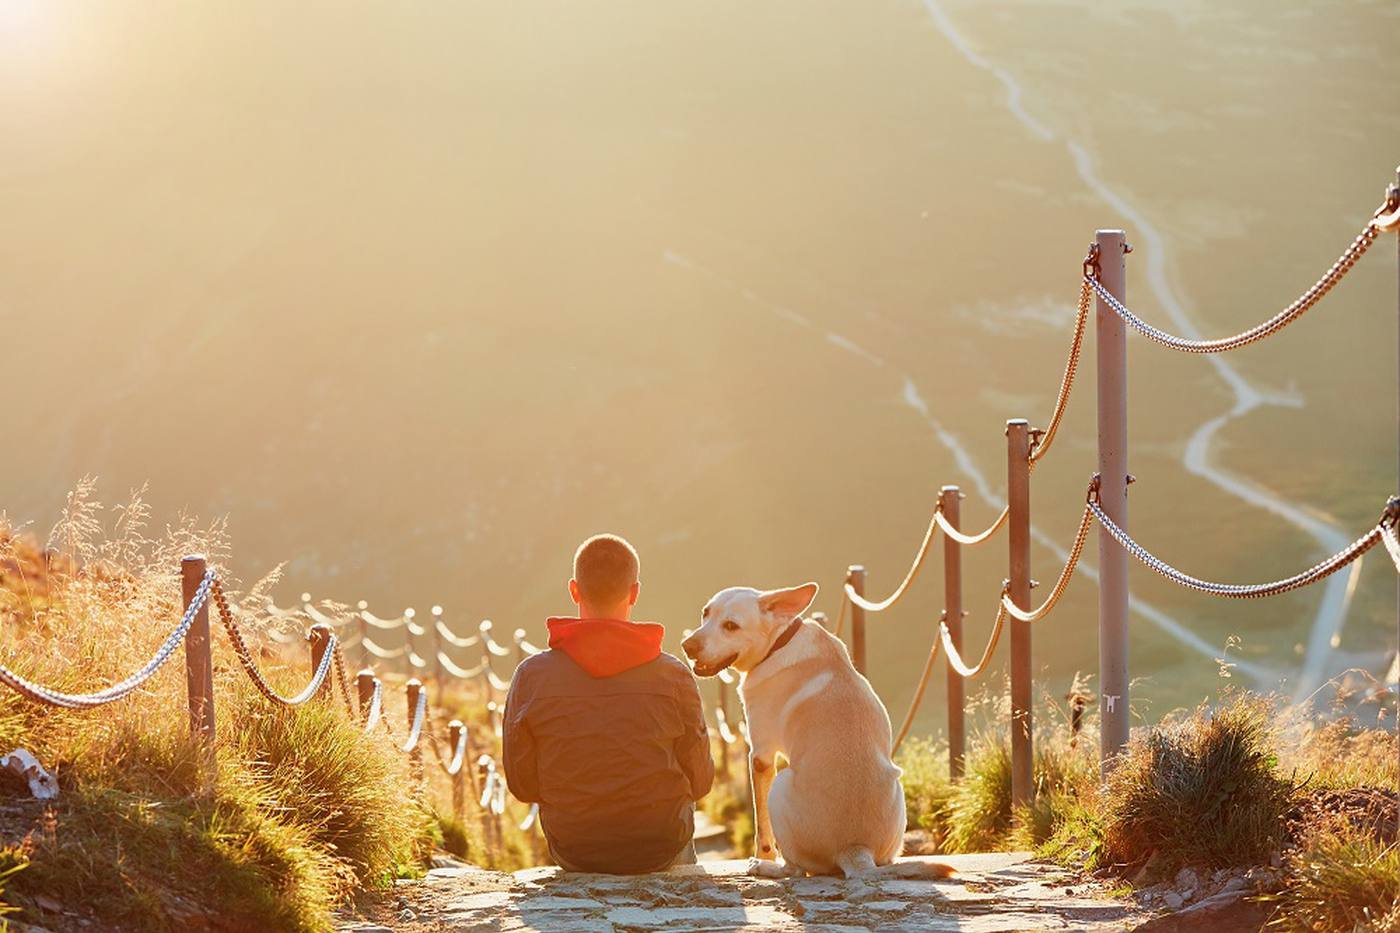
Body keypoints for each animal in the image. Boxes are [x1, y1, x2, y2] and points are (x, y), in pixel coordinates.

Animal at [683, 582, 957, 879]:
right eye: (705, 613)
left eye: (731, 626)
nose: (687, 646)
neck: (780, 642)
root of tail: (855, 849)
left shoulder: (760, 757)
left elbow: (762, 827)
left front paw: (763, 855)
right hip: (898, 797)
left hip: (780, 784)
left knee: (795, 869)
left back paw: (766, 867)